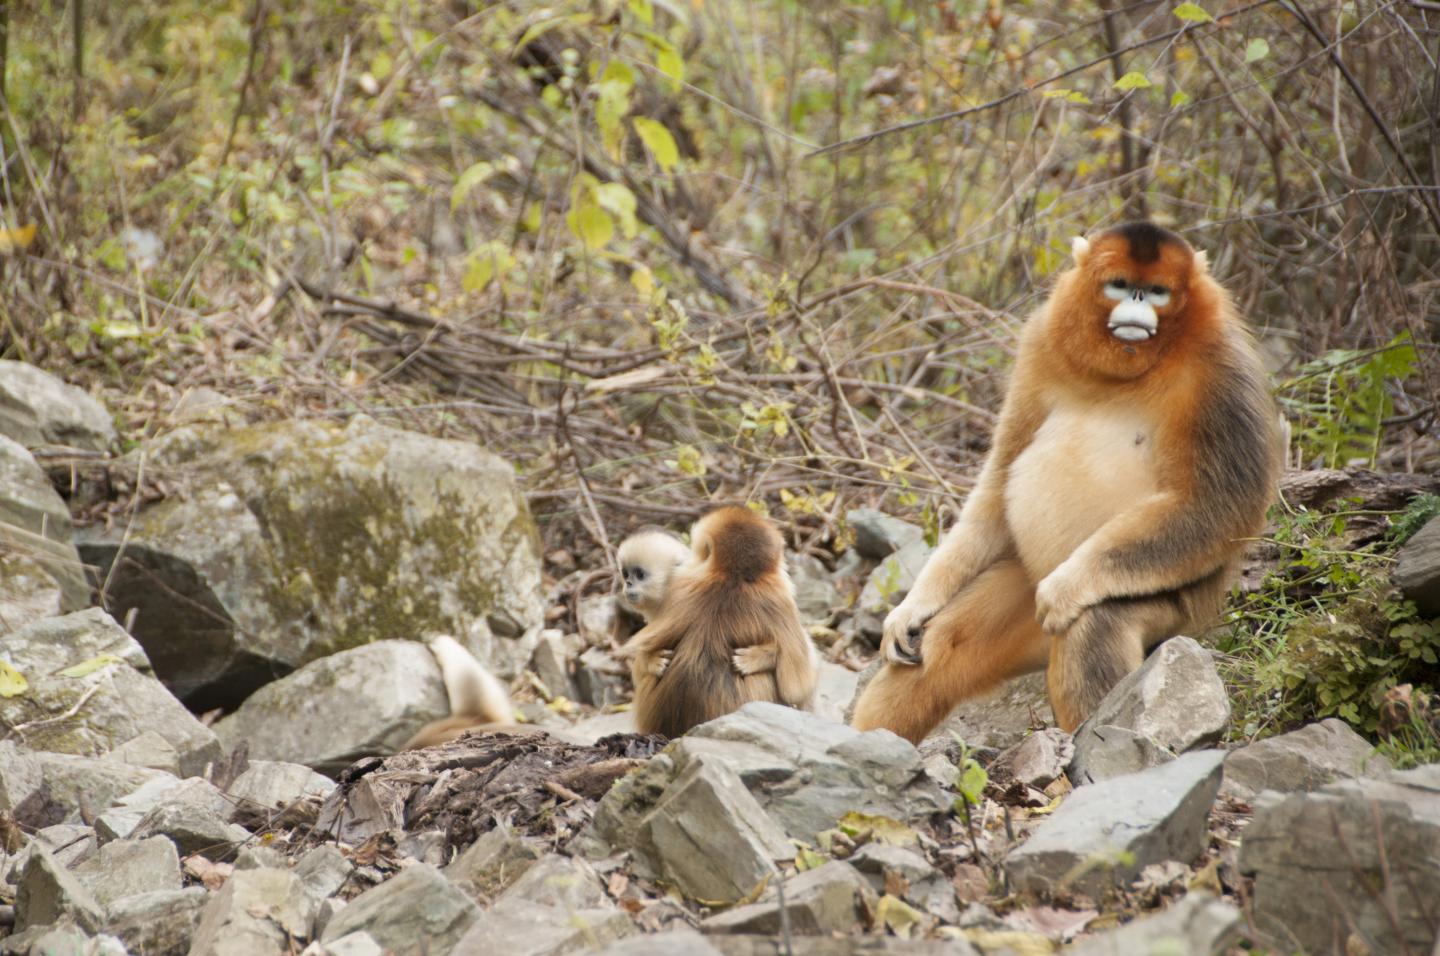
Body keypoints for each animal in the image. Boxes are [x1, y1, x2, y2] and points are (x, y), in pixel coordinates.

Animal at [619, 506, 820, 737]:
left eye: (639, 574)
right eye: (626, 574)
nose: (628, 583)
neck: (732, 576)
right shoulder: (780, 600)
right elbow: (797, 685)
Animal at [851, 222, 1281, 743]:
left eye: (1157, 291)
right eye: (1119, 284)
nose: (1137, 300)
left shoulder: (1222, 371)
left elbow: (1215, 506)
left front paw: (1066, 587)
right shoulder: (1039, 344)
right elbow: (999, 477)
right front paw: (912, 607)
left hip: (1178, 612)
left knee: (1094, 622)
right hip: (1022, 589)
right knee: (943, 645)